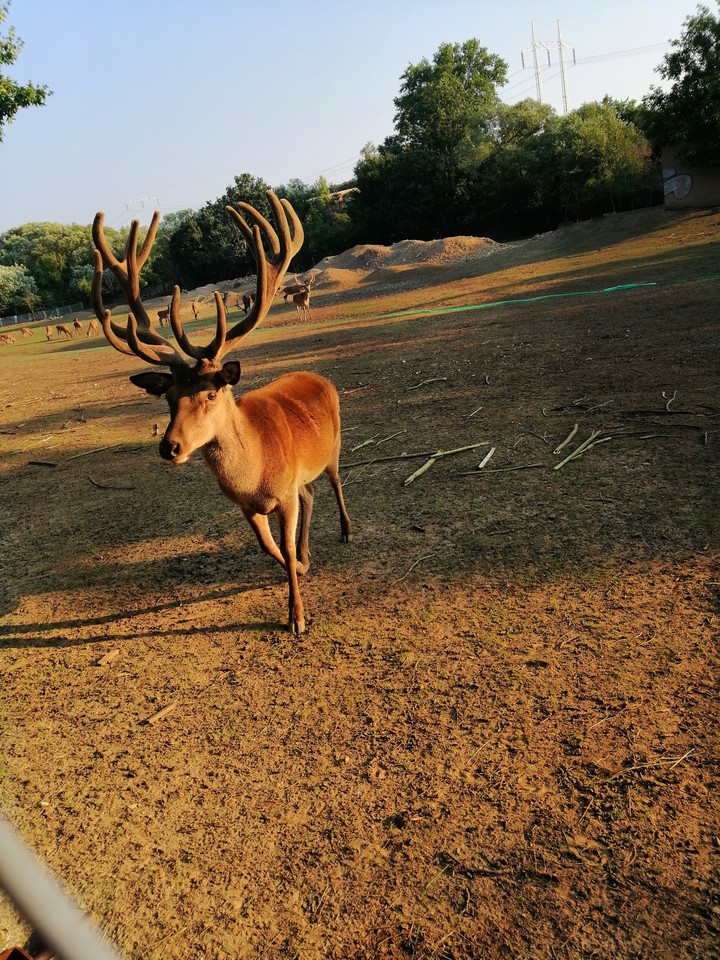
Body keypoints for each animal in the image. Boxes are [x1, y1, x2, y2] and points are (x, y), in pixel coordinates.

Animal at [91, 190, 351, 635]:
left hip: (333, 445)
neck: (255, 476)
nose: (170, 447)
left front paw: (297, 617)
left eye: (211, 394)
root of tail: (318, 375)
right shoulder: (248, 506)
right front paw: (301, 565)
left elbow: (282, 544)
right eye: (168, 396)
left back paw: (347, 531)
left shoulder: (283, 494)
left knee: (334, 481)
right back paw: (309, 552)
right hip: (304, 472)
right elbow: (269, 547)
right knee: (312, 491)